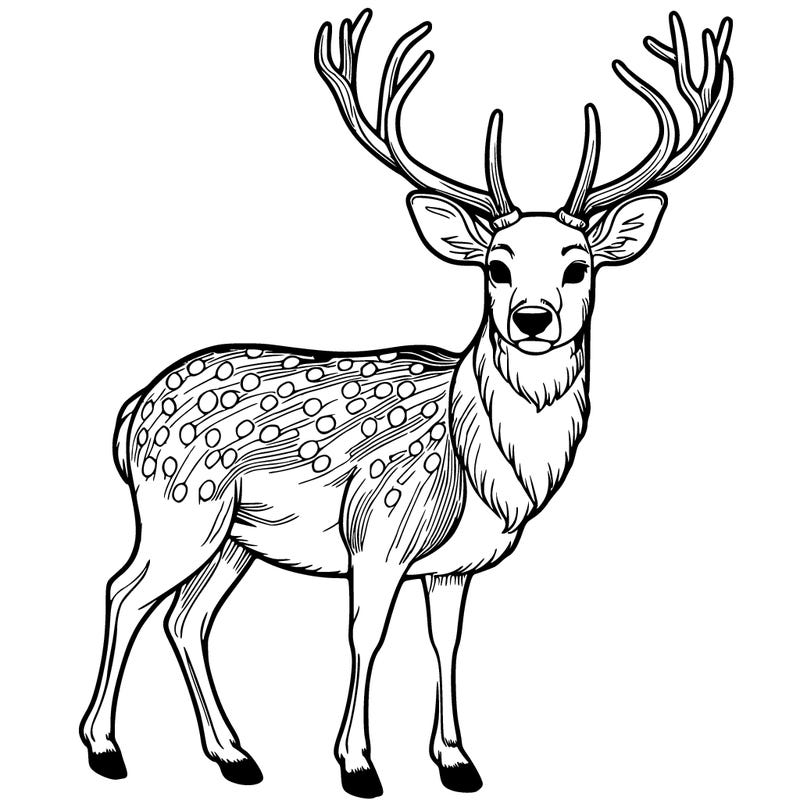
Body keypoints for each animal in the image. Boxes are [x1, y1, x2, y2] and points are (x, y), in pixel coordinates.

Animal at [79, 9, 733, 798]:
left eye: (579, 267)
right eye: (496, 267)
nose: (533, 318)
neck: (483, 473)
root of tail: (131, 411)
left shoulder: (455, 565)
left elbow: (446, 643)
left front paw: (457, 761)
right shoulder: (378, 534)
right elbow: (367, 637)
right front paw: (358, 764)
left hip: (233, 539)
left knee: (186, 618)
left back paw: (234, 755)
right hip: (178, 507)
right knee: (124, 592)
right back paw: (104, 747)